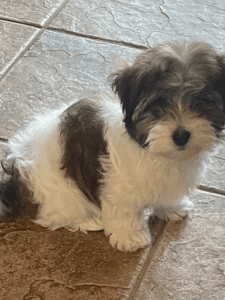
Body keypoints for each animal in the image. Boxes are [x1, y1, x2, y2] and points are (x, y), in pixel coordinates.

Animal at [0, 39, 225, 251]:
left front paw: (171, 208)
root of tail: (17, 176)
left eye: (200, 103)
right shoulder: (119, 184)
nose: (181, 135)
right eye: (157, 106)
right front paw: (131, 237)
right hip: (62, 194)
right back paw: (91, 220)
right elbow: (124, 210)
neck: (158, 152)